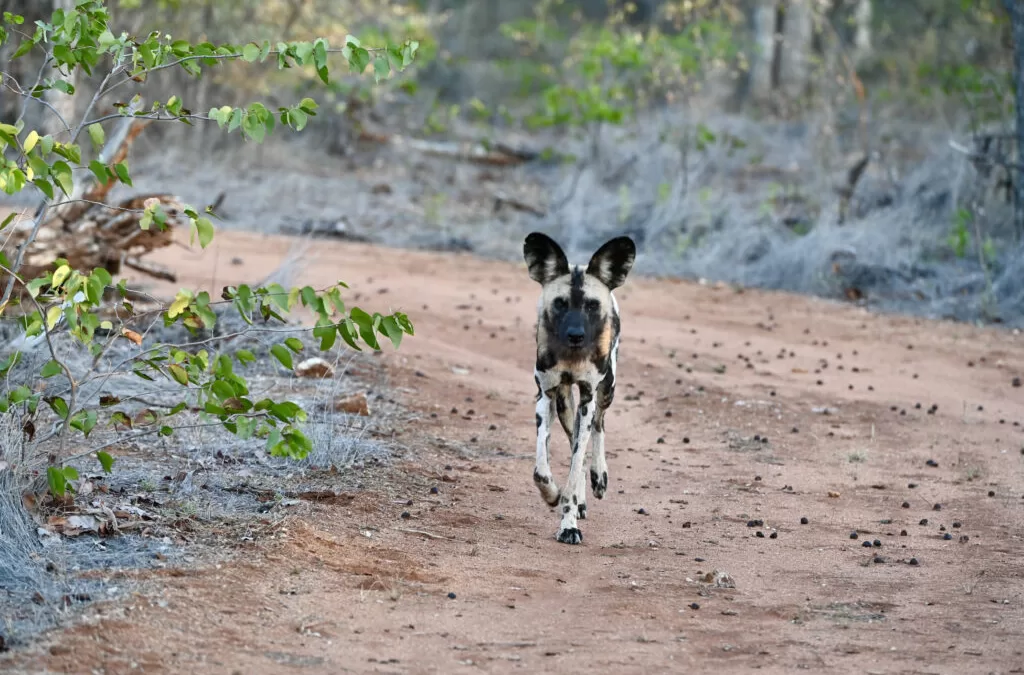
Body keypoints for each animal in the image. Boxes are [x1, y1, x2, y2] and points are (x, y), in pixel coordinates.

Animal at [524, 232, 634, 544]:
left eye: (592, 305)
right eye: (560, 303)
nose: (576, 335)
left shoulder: (588, 397)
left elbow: (576, 463)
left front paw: (568, 524)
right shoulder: (547, 394)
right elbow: (541, 470)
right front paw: (553, 495)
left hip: (606, 390)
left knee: (597, 427)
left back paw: (599, 477)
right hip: (563, 404)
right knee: (575, 438)